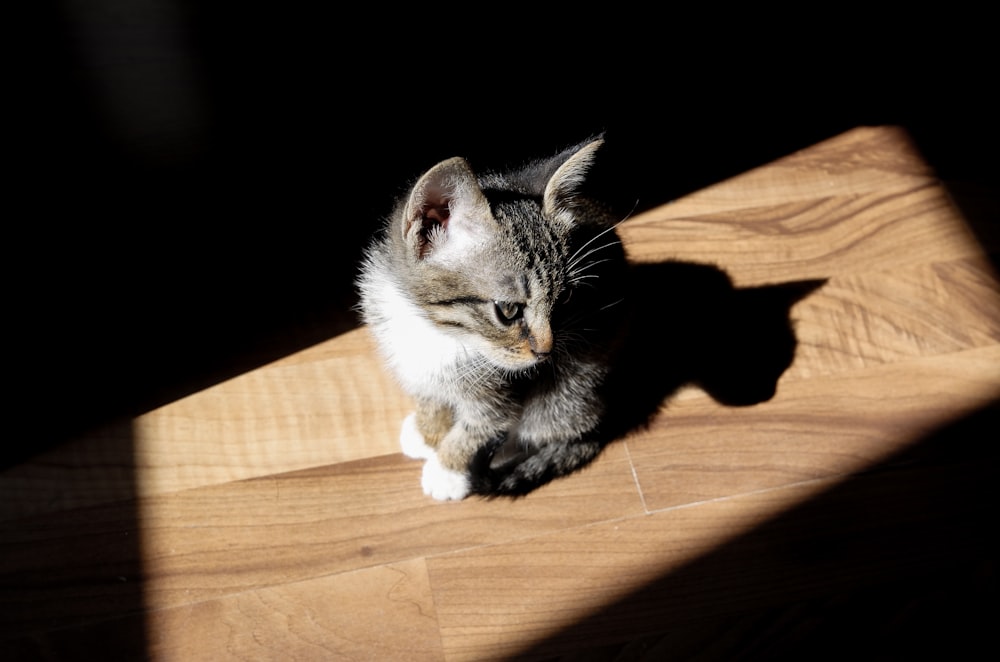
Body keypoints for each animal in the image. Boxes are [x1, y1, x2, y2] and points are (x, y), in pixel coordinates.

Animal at [356, 141, 628, 504]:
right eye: (507, 310)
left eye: (566, 299)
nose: (546, 351)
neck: (434, 330)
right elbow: (428, 395)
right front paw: (428, 431)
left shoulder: (503, 391)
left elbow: (483, 424)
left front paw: (448, 468)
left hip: (572, 387)